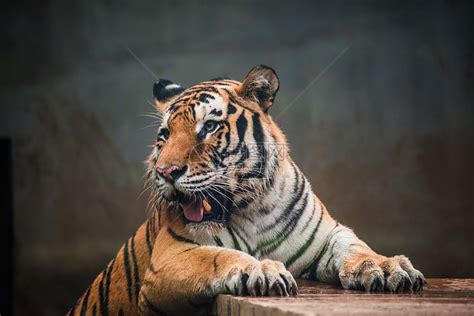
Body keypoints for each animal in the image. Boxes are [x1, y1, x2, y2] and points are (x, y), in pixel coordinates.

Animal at [68, 65, 428, 314]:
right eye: (165, 135)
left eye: (209, 127)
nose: (166, 172)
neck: (254, 209)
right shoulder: (170, 257)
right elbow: (217, 256)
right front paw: (262, 269)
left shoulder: (327, 234)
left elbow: (356, 247)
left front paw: (387, 267)